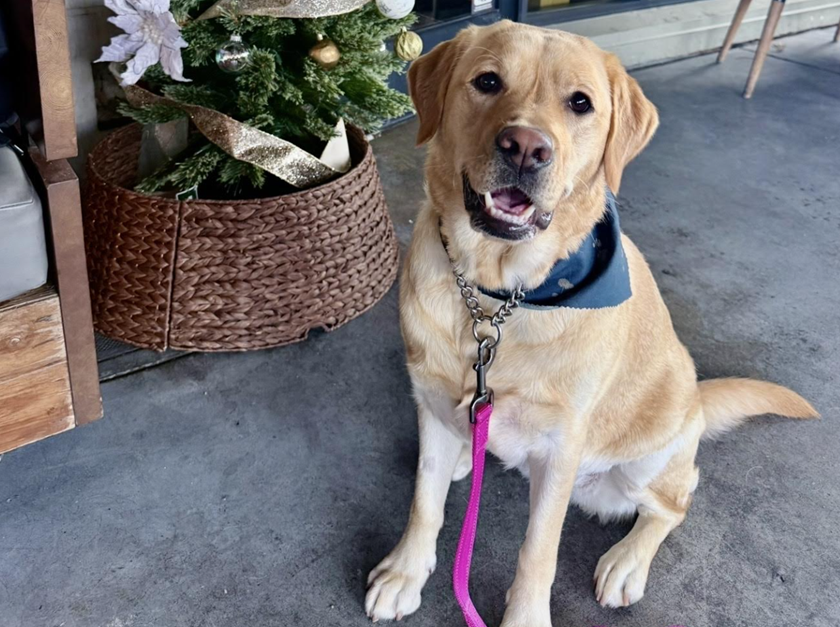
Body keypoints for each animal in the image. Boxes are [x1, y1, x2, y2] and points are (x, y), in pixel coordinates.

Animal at [365, 21, 818, 626]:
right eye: (487, 81)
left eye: (580, 103)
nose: (525, 147)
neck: (500, 296)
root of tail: (698, 401)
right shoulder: (432, 401)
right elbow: (424, 502)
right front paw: (405, 572)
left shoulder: (562, 446)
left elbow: (538, 550)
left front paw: (525, 616)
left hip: (642, 467)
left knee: (676, 501)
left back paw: (627, 561)